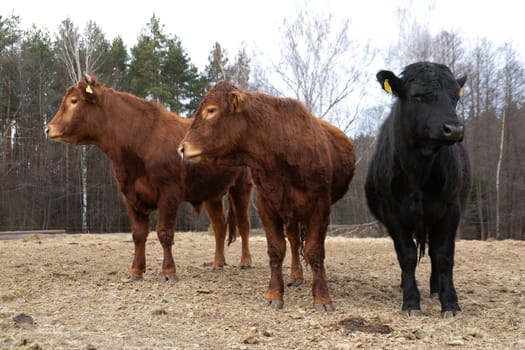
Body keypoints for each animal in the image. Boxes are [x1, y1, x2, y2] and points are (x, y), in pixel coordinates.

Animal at [45, 75, 254, 280]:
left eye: (74, 101)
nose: (48, 128)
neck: (139, 140)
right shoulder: (129, 193)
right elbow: (138, 234)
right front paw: (136, 270)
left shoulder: (169, 191)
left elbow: (164, 232)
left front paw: (169, 271)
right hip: (212, 193)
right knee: (219, 226)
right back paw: (218, 263)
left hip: (242, 186)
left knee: (244, 224)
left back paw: (246, 261)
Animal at [178, 80, 354, 310]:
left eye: (211, 110)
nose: (182, 148)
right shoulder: (266, 203)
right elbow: (277, 249)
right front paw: (274, 295)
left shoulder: (320, 203)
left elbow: (315, 250)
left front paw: (322, 297)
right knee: (294, 239)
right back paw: (296, 275)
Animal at [364, 62, 470, 318]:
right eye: (418, 96)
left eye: (455, 97)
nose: (454, 129)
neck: (418, 171)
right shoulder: (391, 212)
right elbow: (407, 255)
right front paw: (411, 302)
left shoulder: (451, 208)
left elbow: (443, 255)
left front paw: (450, 303)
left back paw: (435, 288)